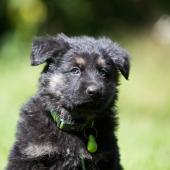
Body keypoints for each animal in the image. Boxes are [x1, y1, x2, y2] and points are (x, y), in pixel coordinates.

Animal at [5, 33, 129, 170]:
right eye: (75, 70)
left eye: (103, 72)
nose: (94, 91)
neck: (74, 126)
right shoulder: (29, 155)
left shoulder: (107, 159)